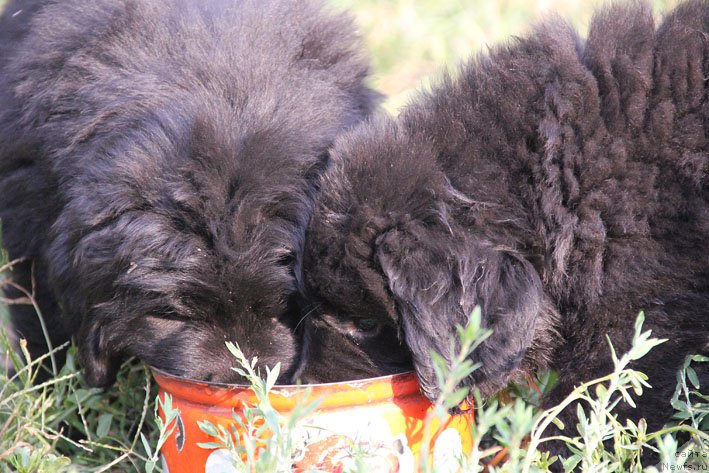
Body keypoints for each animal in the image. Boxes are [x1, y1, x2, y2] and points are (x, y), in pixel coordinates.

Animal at [0, 0, 378, 386]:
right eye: (176, 313)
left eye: (284, 308)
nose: (243, 382)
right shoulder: (30, 224)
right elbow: (43, 317)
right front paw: (42, 381)